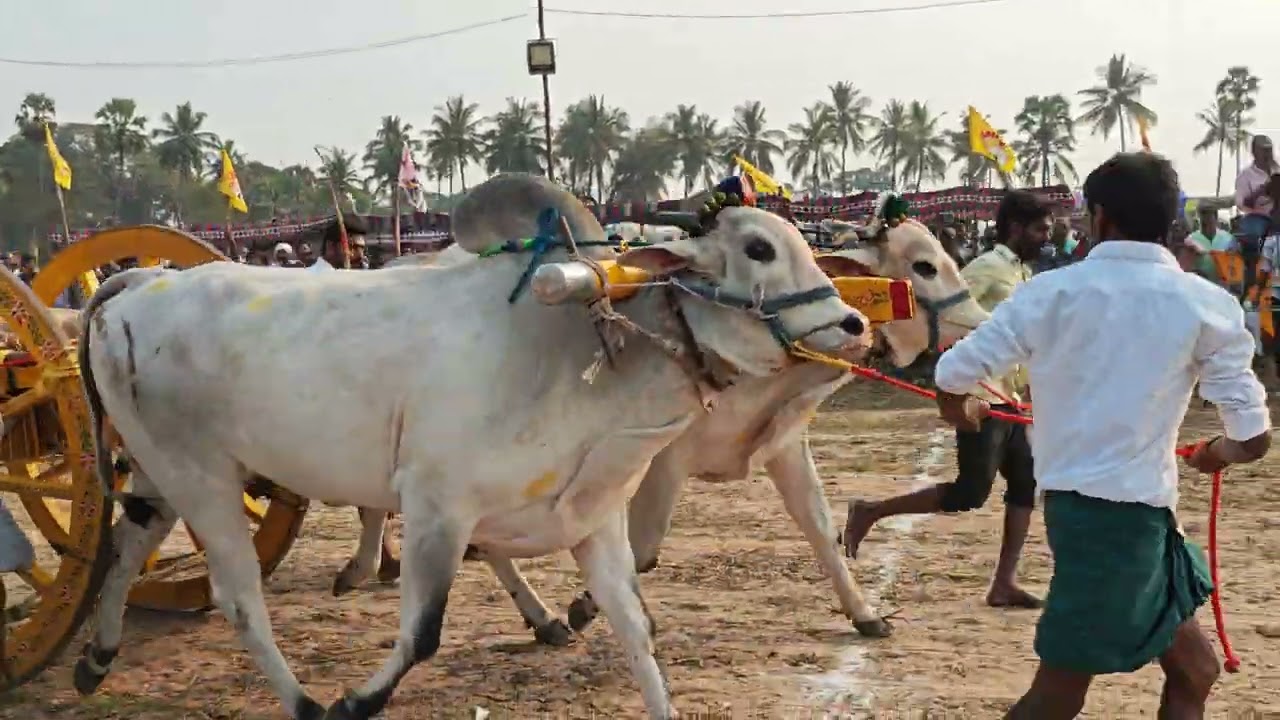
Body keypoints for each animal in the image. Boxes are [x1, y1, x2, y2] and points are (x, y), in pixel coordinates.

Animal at [72, 174, 872, 720]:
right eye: (759, 247)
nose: (856, 323)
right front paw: (354, 701)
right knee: (237, 598)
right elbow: (423, 634)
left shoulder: (593, 521)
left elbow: (636, 629)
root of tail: (137, 284)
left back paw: (97, 656)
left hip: (161, 473)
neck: (579, 345)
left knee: (127, 544)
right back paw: (302, 701)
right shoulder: (435, 509)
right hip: (202, 477)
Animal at [336, 215, 990, 646]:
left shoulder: (782, 445)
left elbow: (822, 532)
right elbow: (644, 549)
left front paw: (864, 613)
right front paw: (589, 606)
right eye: (924, 264)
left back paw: (533, 616)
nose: (983, 318)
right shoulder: (663, 457)